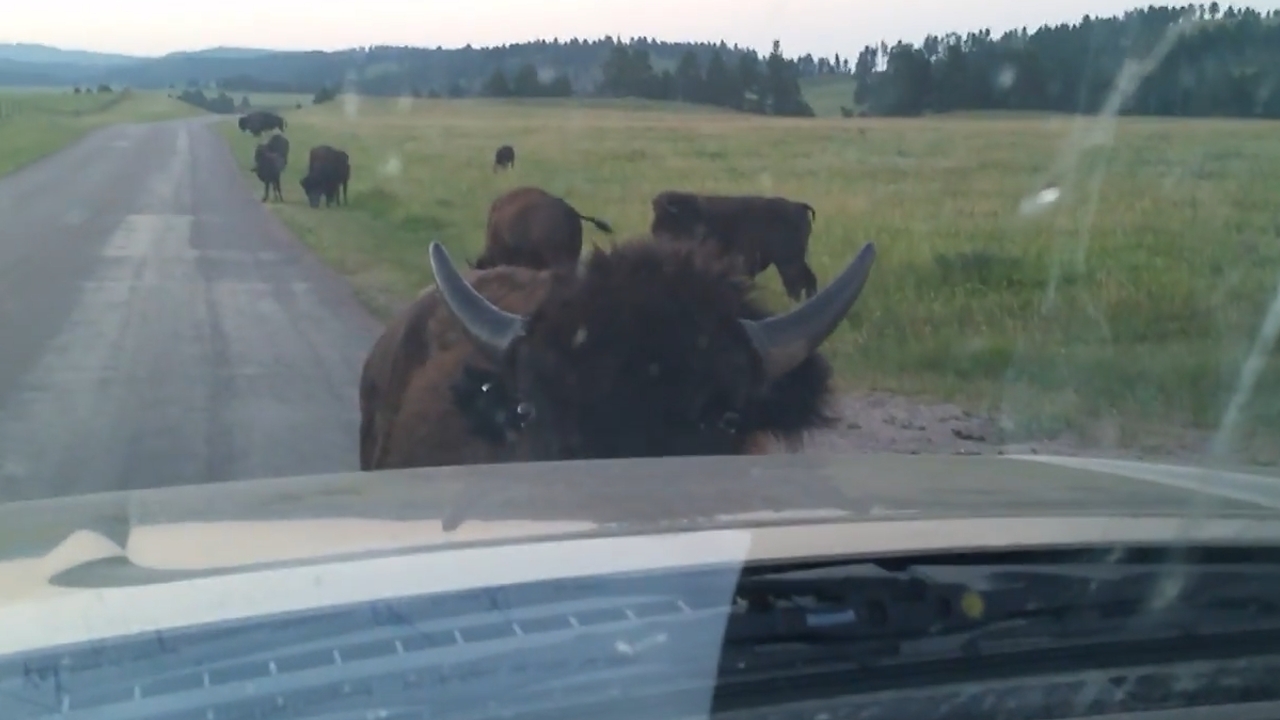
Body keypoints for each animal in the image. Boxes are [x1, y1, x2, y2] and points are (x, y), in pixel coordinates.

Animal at [650, 191, 820, 302]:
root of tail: (798, 206)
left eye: (665, 220)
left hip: (789, 262)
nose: (654, 233)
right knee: (808, 279)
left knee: (796, 283)